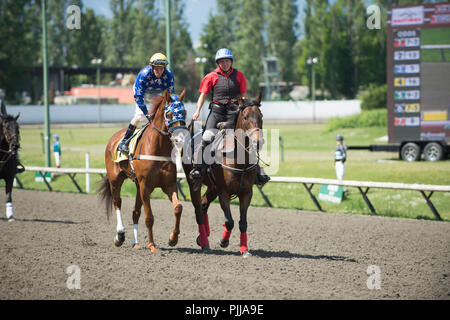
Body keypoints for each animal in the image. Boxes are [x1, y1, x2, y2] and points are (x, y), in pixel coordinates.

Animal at [99, 89, 187, 252]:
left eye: (184, 112)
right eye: (169, 114)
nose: (180, 138)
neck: (158, 148)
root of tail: (113, 139)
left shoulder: (169, 185)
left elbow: (178, 208)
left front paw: (173, 239)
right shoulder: (145, 186)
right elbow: (149, 217)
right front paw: (152, 245)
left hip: (137, 185)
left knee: (135, 212)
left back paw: (136, 243)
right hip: (115, 180)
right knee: (117, 202)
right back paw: (119, 235)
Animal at [181, 94, 264, 258]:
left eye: (261, 116)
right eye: (245, 117)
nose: (257, 142)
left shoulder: (246, 193)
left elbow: (242, 223)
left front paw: (244, 249)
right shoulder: (224, 193)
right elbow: (229, 221)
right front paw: (223, 241)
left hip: (213, 187)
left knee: (204, 204)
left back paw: (203, 238)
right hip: (193, 183)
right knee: (198, 210)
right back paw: (205, 243)